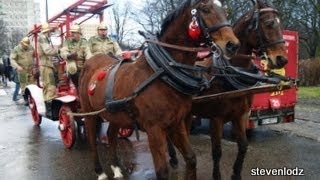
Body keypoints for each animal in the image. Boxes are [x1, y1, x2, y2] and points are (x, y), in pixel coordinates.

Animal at [79, 0, 240, 179]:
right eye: (205, 9)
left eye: (225, 11)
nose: (232, 45)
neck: (163, 72)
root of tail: (91, 60)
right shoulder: (154, 129)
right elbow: (162, 171)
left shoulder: (176, 123)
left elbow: (191, 158)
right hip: (89, 113)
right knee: (92, 141)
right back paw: (100, 171)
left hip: (115, 115)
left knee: (111, 135)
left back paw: (116, 168)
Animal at [168, 0, 288, 180]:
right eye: (269, 23)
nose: (282, 59)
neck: (230, 73)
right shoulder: (216, 119)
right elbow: (217, 151)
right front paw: (217, 175)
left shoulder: (240, 116)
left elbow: (243, 146)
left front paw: (236, 174)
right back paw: (173, 159)